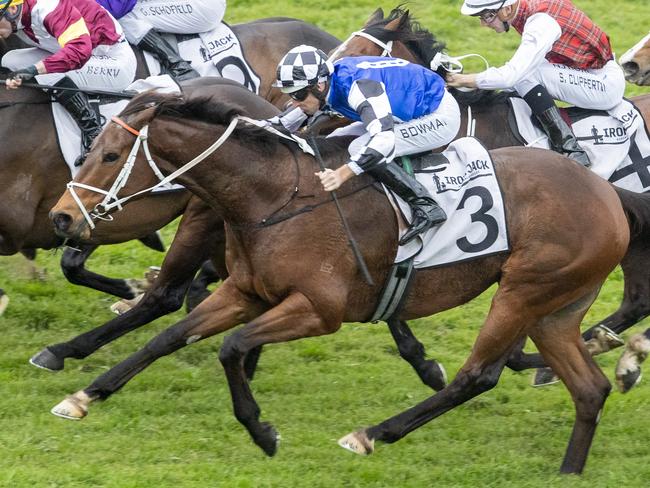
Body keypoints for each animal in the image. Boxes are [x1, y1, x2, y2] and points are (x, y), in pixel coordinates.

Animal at [45, 84, 648, 472]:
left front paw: (262, 431)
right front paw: (85, 395)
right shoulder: (246, 291)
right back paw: (569, 469)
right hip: (556, 310)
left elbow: (231, 348)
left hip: (524, 292)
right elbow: (168, 336)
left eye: (111, 155)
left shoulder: (319, 310)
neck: (274, 197)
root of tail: (607, 191)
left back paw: (372, 433)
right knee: (588, 389)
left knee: (477, 376)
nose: (62, 217)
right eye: (92, 148)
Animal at [332, 6, 648, 388]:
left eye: (357, 52)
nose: (310, 96)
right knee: (637, 300)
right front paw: (424, 362)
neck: (463, 124)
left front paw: (430, 365)